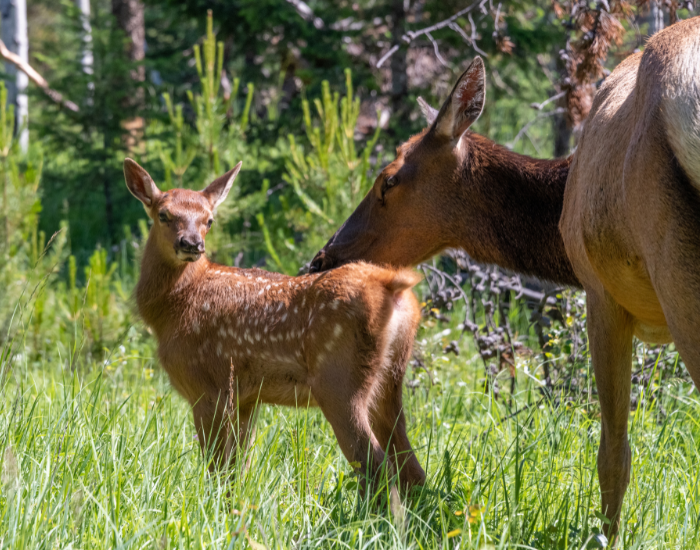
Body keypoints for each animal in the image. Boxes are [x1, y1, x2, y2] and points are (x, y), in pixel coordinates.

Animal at [122, 158, 426, 496]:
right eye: (164, 214)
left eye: (209, 220)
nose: (191, 244)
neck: (174, 307)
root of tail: (392, 285)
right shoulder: (245, 397)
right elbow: (237, 470)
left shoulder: (206, 387)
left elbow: (216, 469)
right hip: (391, 380)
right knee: (412, 470)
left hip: (339, 382)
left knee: (378, 468)